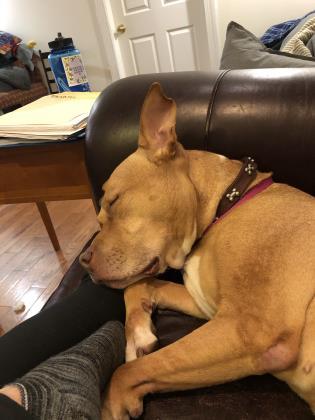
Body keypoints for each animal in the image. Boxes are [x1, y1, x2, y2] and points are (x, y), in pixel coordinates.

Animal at [81, 83, 315, 420]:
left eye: (113, 202)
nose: (83, 261)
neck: (225, 204)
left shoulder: (249, 330)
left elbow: (130, 371)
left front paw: (111, 407)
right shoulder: (207, 307)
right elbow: (140, 286)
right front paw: (138, 336)